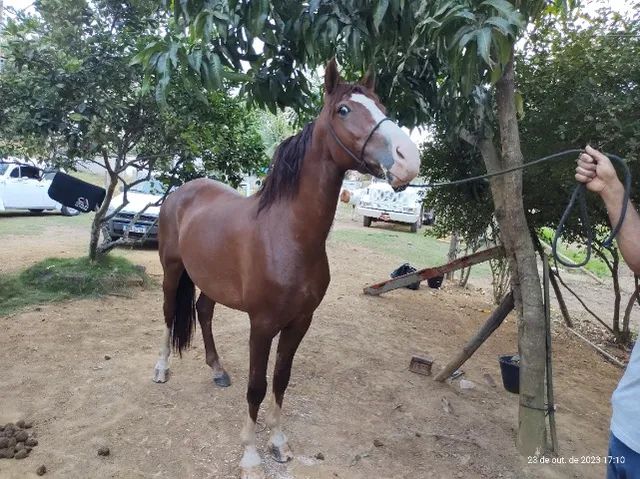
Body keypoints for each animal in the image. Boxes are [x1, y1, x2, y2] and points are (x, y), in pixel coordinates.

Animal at [151, 61, 420, 479]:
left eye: (381, 105)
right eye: (344, 110)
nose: (408, 158)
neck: (288, 234)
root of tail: (180, 192)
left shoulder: (300, 322)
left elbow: (281, 380)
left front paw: (278, 442)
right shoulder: (262, 325)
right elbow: (257, 386)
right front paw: (250, 453)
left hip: (209, 281)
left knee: (203, 311)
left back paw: (217, 370)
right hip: (173, 270)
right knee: (168, 315)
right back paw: (162, 370)